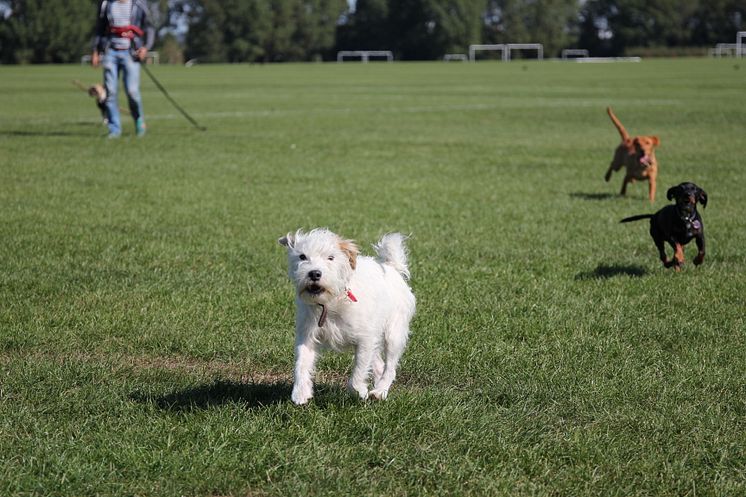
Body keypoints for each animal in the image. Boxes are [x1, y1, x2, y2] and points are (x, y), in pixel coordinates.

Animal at [278, 228, 416, 404]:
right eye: (302, 256)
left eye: (331, 257)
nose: (314, 273)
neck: (331, 302)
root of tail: (391, 267)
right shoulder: (307, 336)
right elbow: (301, 363)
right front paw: (300, 392)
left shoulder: (365, 339)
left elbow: (359, 369)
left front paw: (359, 391)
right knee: (378, 364)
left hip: (394, 335)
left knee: (390, 368)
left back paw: (380, 391)